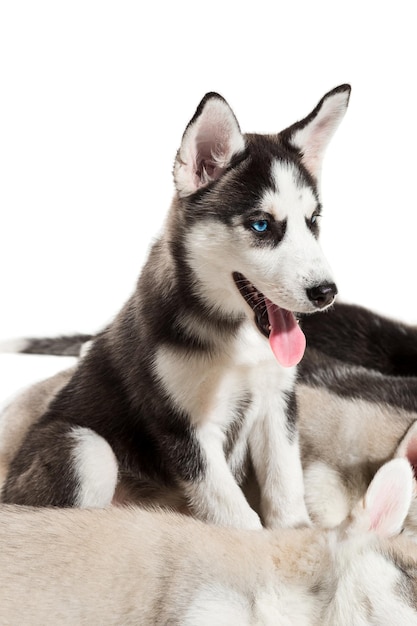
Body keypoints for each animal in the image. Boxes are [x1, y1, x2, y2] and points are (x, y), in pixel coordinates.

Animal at [1, 86, 350, 528]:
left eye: (313, 220)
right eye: (261, 225)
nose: (327, 293)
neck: (236, 338)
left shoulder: (277, 405)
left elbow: (286, 486)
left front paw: (298, 531)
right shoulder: (183, 427)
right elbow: (236, 517)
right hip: (85, 447)